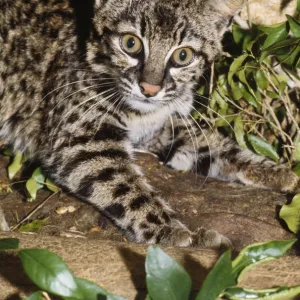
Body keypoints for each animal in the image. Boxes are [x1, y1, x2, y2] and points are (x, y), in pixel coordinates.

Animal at [0, 0, 300, 248]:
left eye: (183, 56)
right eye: (130, 43)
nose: (149, 89)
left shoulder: (159, 128)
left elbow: (213, 144)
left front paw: (275, 171)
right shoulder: (82, 139)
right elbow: (126, 188)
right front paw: (172, 232)